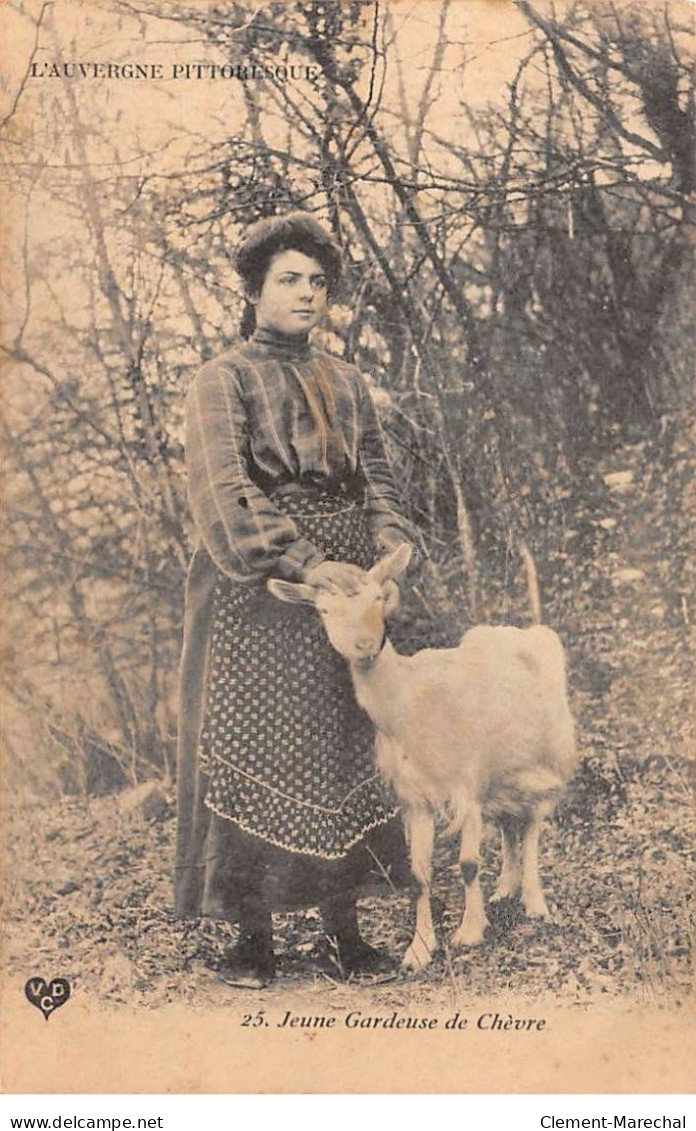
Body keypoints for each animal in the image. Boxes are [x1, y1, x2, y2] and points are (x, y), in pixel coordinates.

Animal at [269, 542, 579, 968]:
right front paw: (419, 948)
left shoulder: (467, 782)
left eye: (379, 599)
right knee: (509, 823)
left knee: (532, 825)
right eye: (324, 610)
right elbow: (418, 873)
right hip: (502, 772)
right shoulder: (414, 795)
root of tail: (526, 631)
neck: (412, 700)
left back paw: (534, 903)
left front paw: (469, 932)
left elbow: (468, 864)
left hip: (552, 759)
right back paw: (505, 887)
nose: (364, 646)